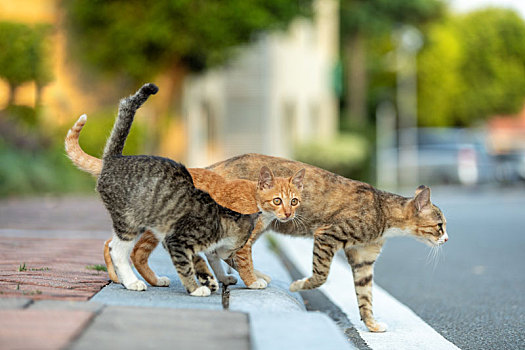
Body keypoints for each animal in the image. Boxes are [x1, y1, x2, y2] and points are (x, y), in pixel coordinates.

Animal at [97, 84, 258, 296]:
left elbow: (197, 259)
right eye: (242, 243)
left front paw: (208, 278)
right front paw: (196, 288)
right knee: (116, 250)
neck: (218, 219)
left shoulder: (171, 240)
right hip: (128, 222)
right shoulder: (177, 240)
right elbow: (185, 266)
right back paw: (132, 282)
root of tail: (115, 158)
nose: (234, 253)